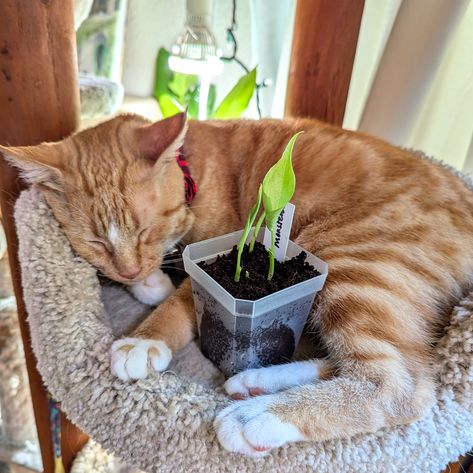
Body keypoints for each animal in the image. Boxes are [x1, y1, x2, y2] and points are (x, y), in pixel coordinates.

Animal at [3, 112, 472, 456]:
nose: (132, 271)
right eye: (95, 242)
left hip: (353, 263)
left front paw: (143, 339)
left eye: (145, 230)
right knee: (350, 364)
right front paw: (148, 283)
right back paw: (256, 383)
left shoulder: (213, 259)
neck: (193, 169)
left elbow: (179, 303)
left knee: (400, 386)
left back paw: (258, 417)